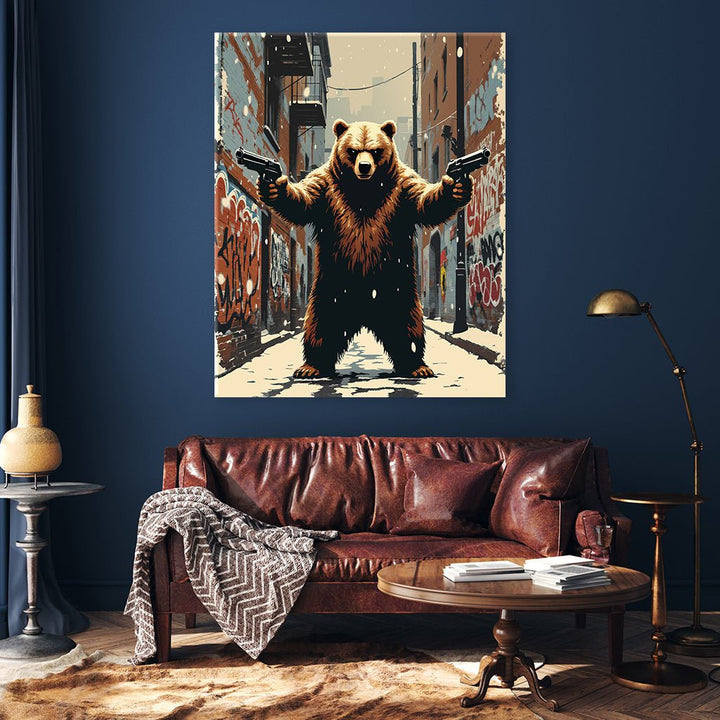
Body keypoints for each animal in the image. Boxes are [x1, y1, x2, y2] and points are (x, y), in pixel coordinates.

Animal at [258, 118, 473, 379]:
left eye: (375, 150)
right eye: (352, 150)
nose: (364, 166)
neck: (364, 190)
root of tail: (364, 310)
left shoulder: (401, 189)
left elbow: (425, 201)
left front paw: (457, 187)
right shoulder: (327, 188)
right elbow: (303, 200)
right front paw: (274, 187)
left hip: (396, 286)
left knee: (407, 323)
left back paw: (415, 365)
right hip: (332, 285)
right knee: (320, 322)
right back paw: (312, 365)